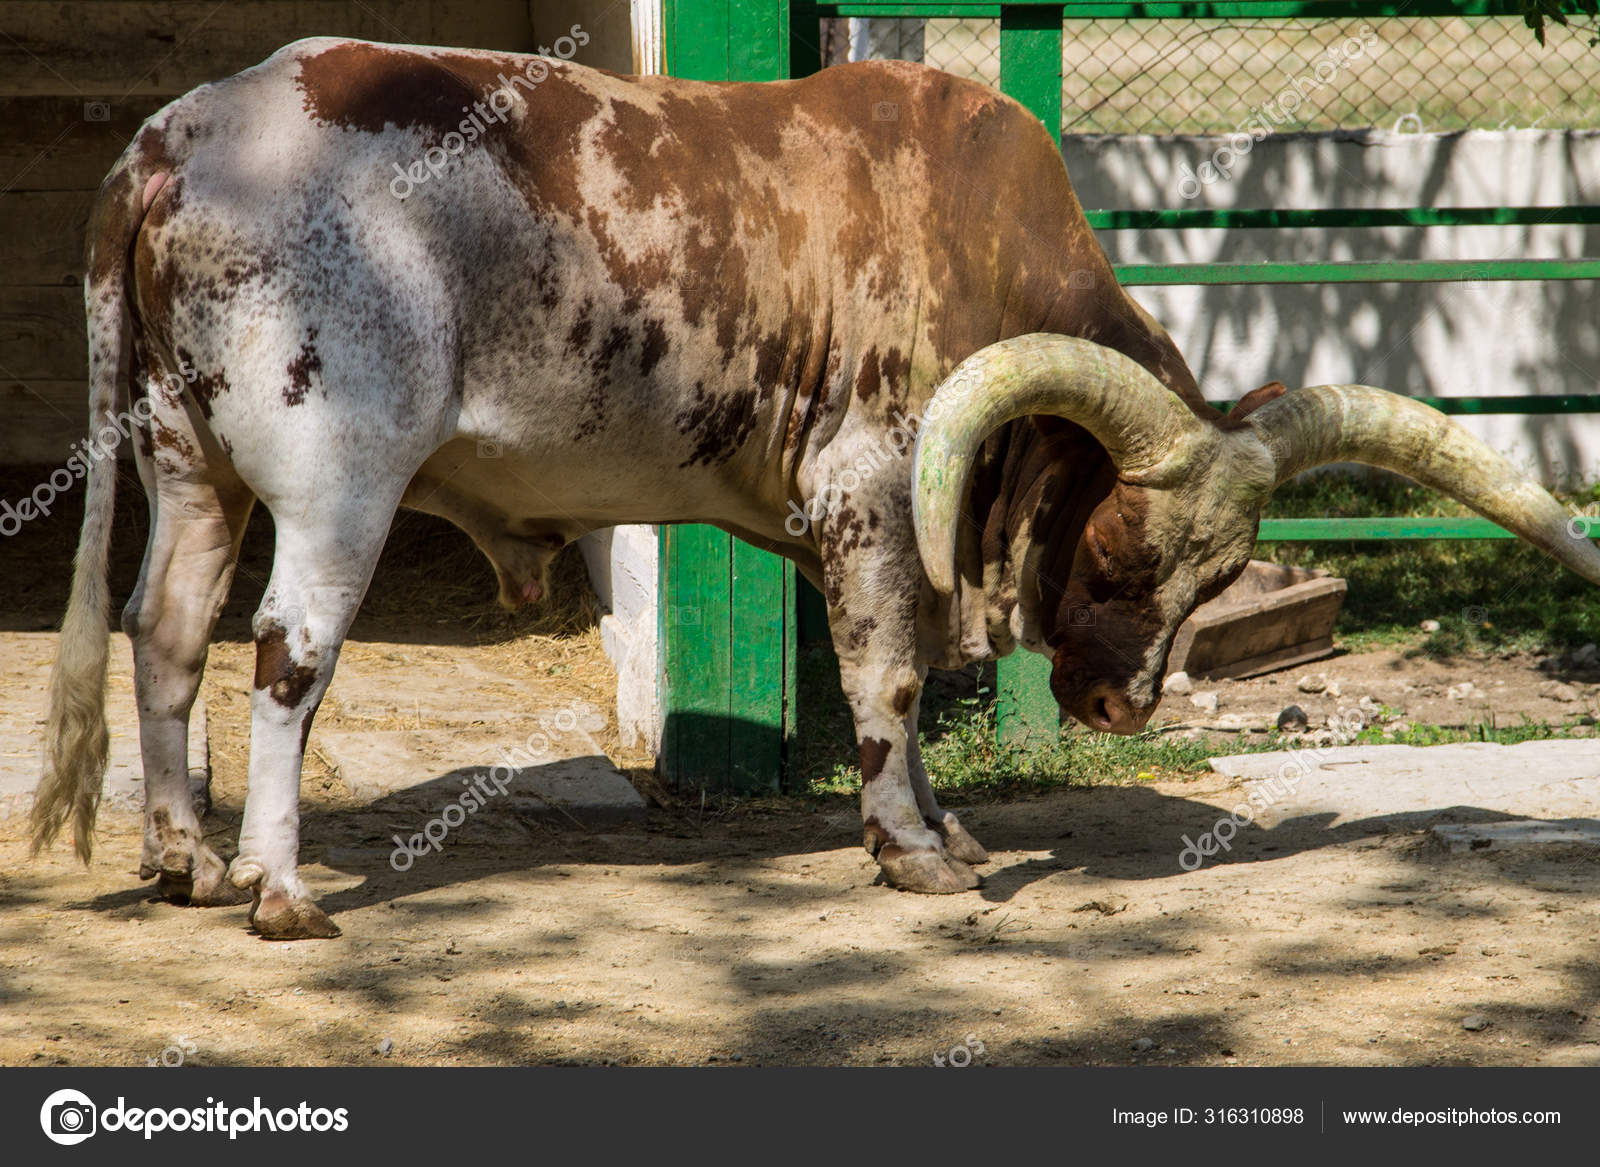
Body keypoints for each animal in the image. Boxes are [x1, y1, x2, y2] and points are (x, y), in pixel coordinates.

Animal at [32, 40, 1600, 939]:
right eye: (1113, 547)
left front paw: (945, 829)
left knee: (167, 638)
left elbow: (895, 677)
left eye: (1217, 575)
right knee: (285, 660)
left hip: (191, 473)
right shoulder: (869, 494)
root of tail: (174, 140)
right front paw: (912, 854)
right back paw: (280, 891)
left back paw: (188, 863)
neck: (974, 245)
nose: (1117, 707)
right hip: (334, 483)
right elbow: (889, 676)